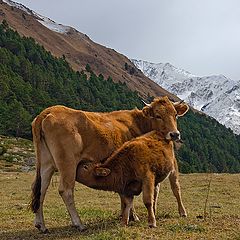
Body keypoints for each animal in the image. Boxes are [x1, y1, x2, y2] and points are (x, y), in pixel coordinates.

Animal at [29, 95, 188, 232]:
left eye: (175, 114)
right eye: (158, 115)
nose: (175, 134)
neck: (137, 123)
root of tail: (49, 111)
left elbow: (124, 195)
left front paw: (125, 216)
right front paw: (133, 217)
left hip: (47, 164)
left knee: (40, 189)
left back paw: (41, 225)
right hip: (68, 163)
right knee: (65, 190)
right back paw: (79, 224)